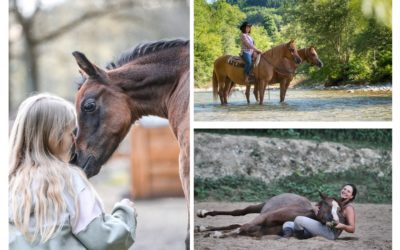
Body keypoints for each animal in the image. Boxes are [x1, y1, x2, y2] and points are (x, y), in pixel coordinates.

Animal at [196, 192, 344, 237]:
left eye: (340, 210)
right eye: (327, 205)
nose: (335, 221)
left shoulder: (260, 231)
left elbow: (241, 228)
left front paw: (216, 233)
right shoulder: (264, 217)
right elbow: (241, 227)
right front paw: (217, 234)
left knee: (234, 224)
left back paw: (201, 228)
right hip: (259, 208)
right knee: (239, 212)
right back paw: (202, 213)